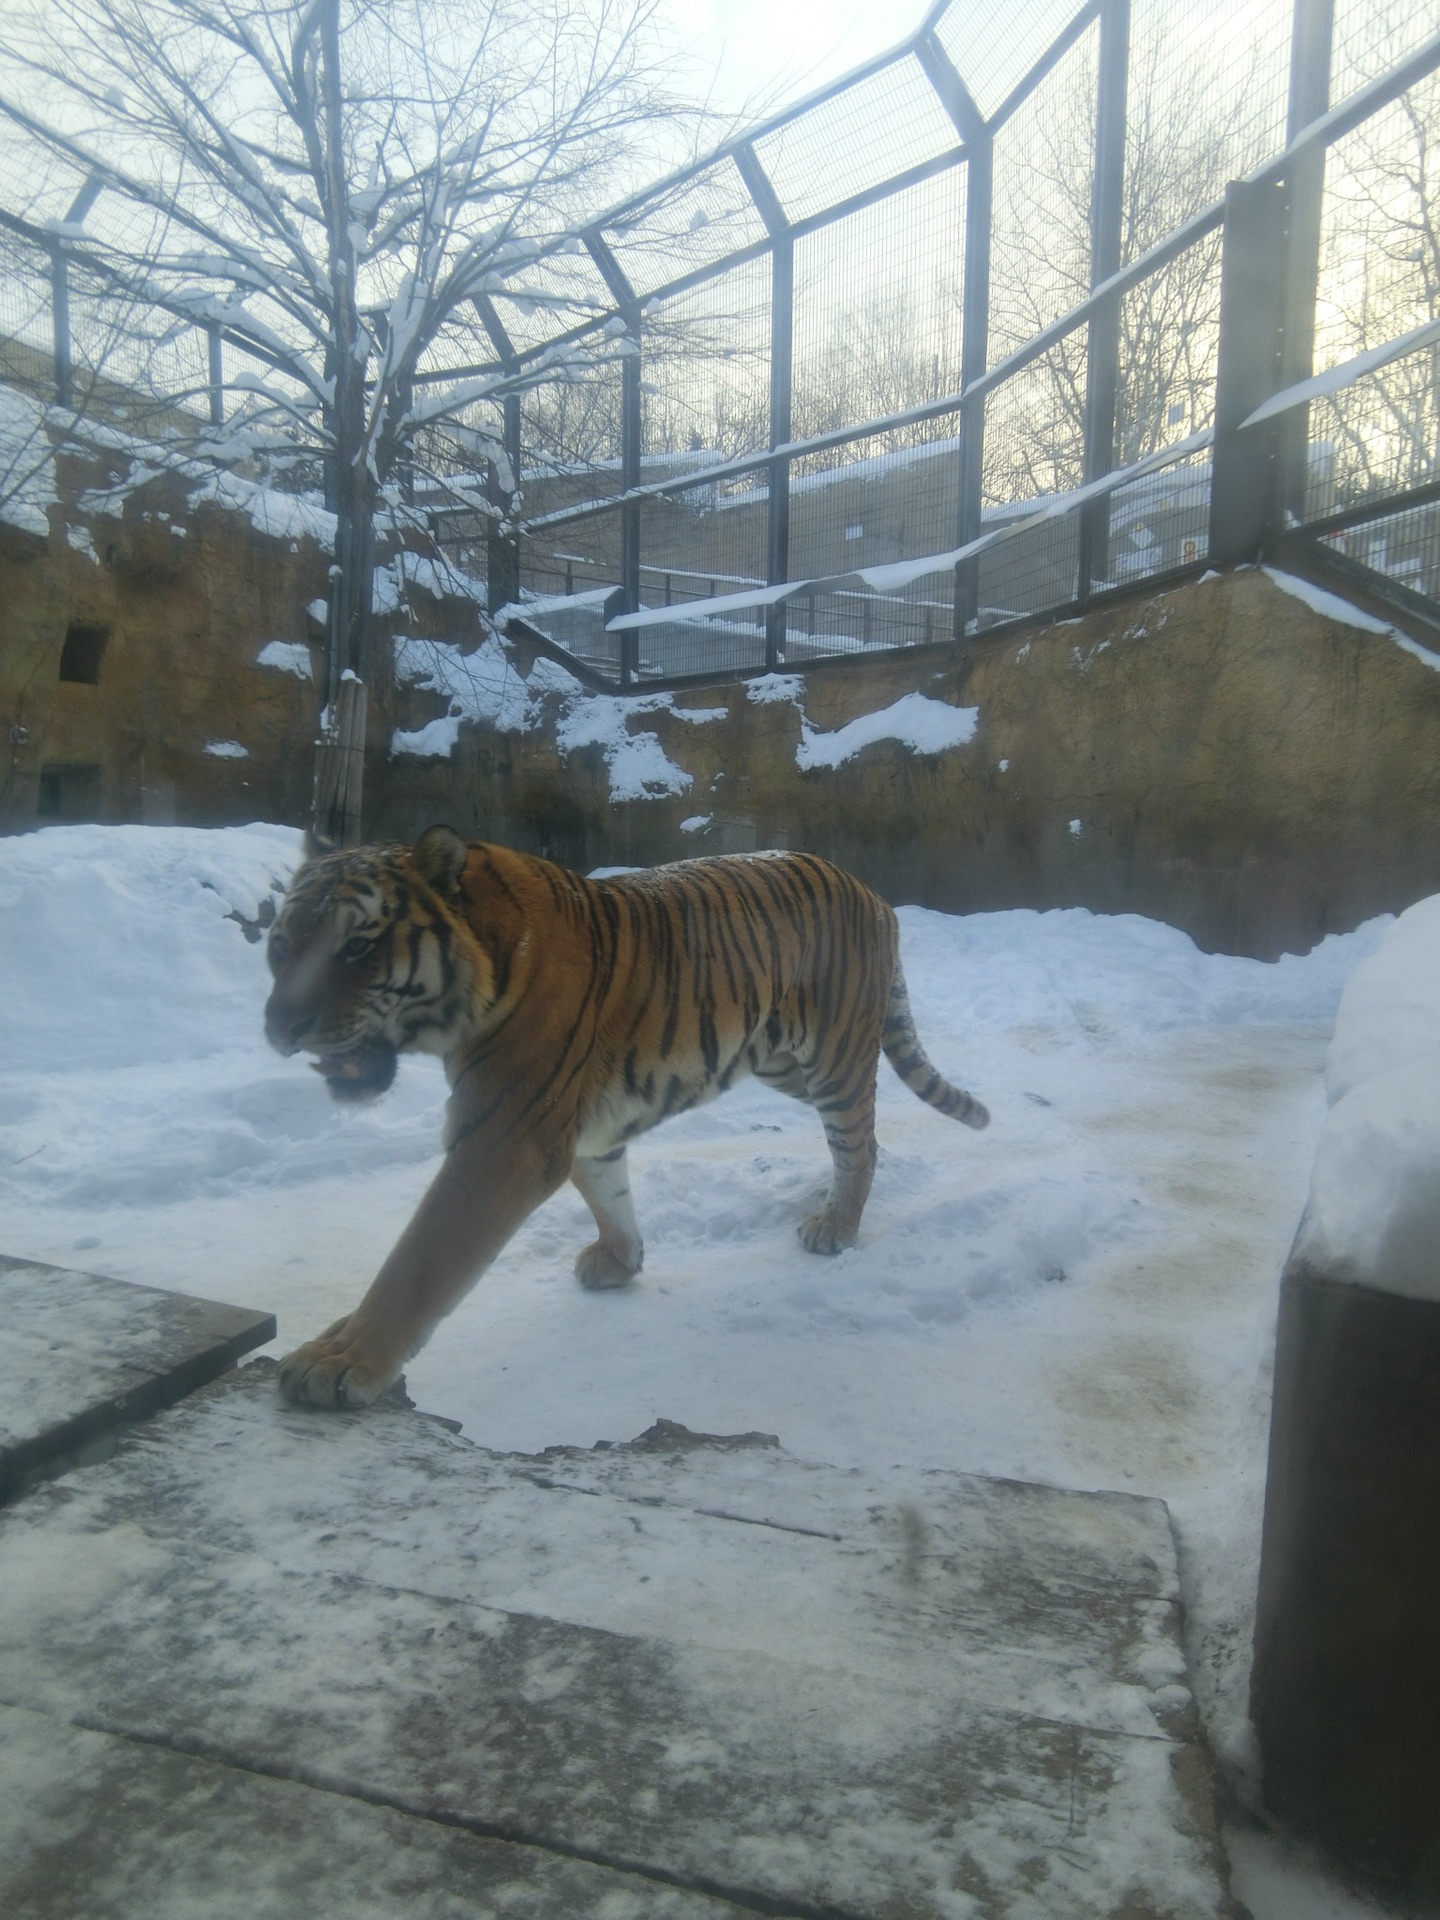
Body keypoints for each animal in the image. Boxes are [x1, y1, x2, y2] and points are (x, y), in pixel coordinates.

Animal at [263, 829, 990, 1413]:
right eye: (279, 945)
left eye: (359, 947)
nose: (280, 1026)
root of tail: (872, 891)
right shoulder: (583, 1129)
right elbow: (609, 1194)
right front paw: (622, 1261)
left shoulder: (502, 1141)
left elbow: (417, 1263)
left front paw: (340, 1362)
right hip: (781, 1061)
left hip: (832, 1060)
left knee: (861, 1142)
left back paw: (836, 1225)